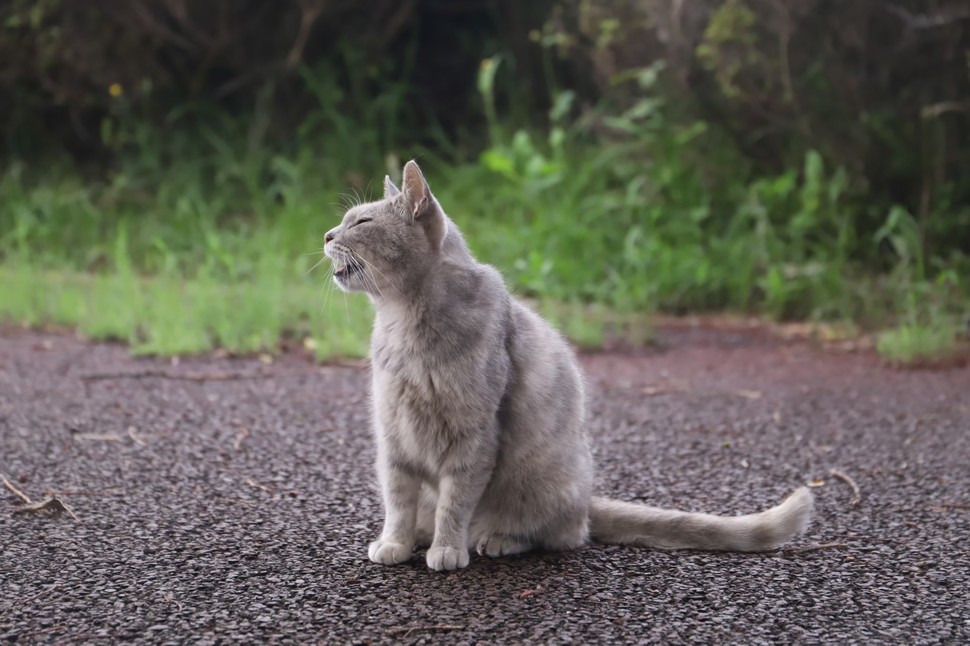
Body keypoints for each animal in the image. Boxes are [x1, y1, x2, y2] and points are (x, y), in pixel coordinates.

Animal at [324, 162, 808, 572]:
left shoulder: (473, 441)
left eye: (361, 223)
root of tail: (587, 496)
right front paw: (396, 543)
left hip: (541, 480)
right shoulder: (393, 440)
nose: (327, 235)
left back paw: (496, 539)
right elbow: (398, 502)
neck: (403, 323)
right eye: (346, 219)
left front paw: (447, 549)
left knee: (561, 534)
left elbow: (454, 503)